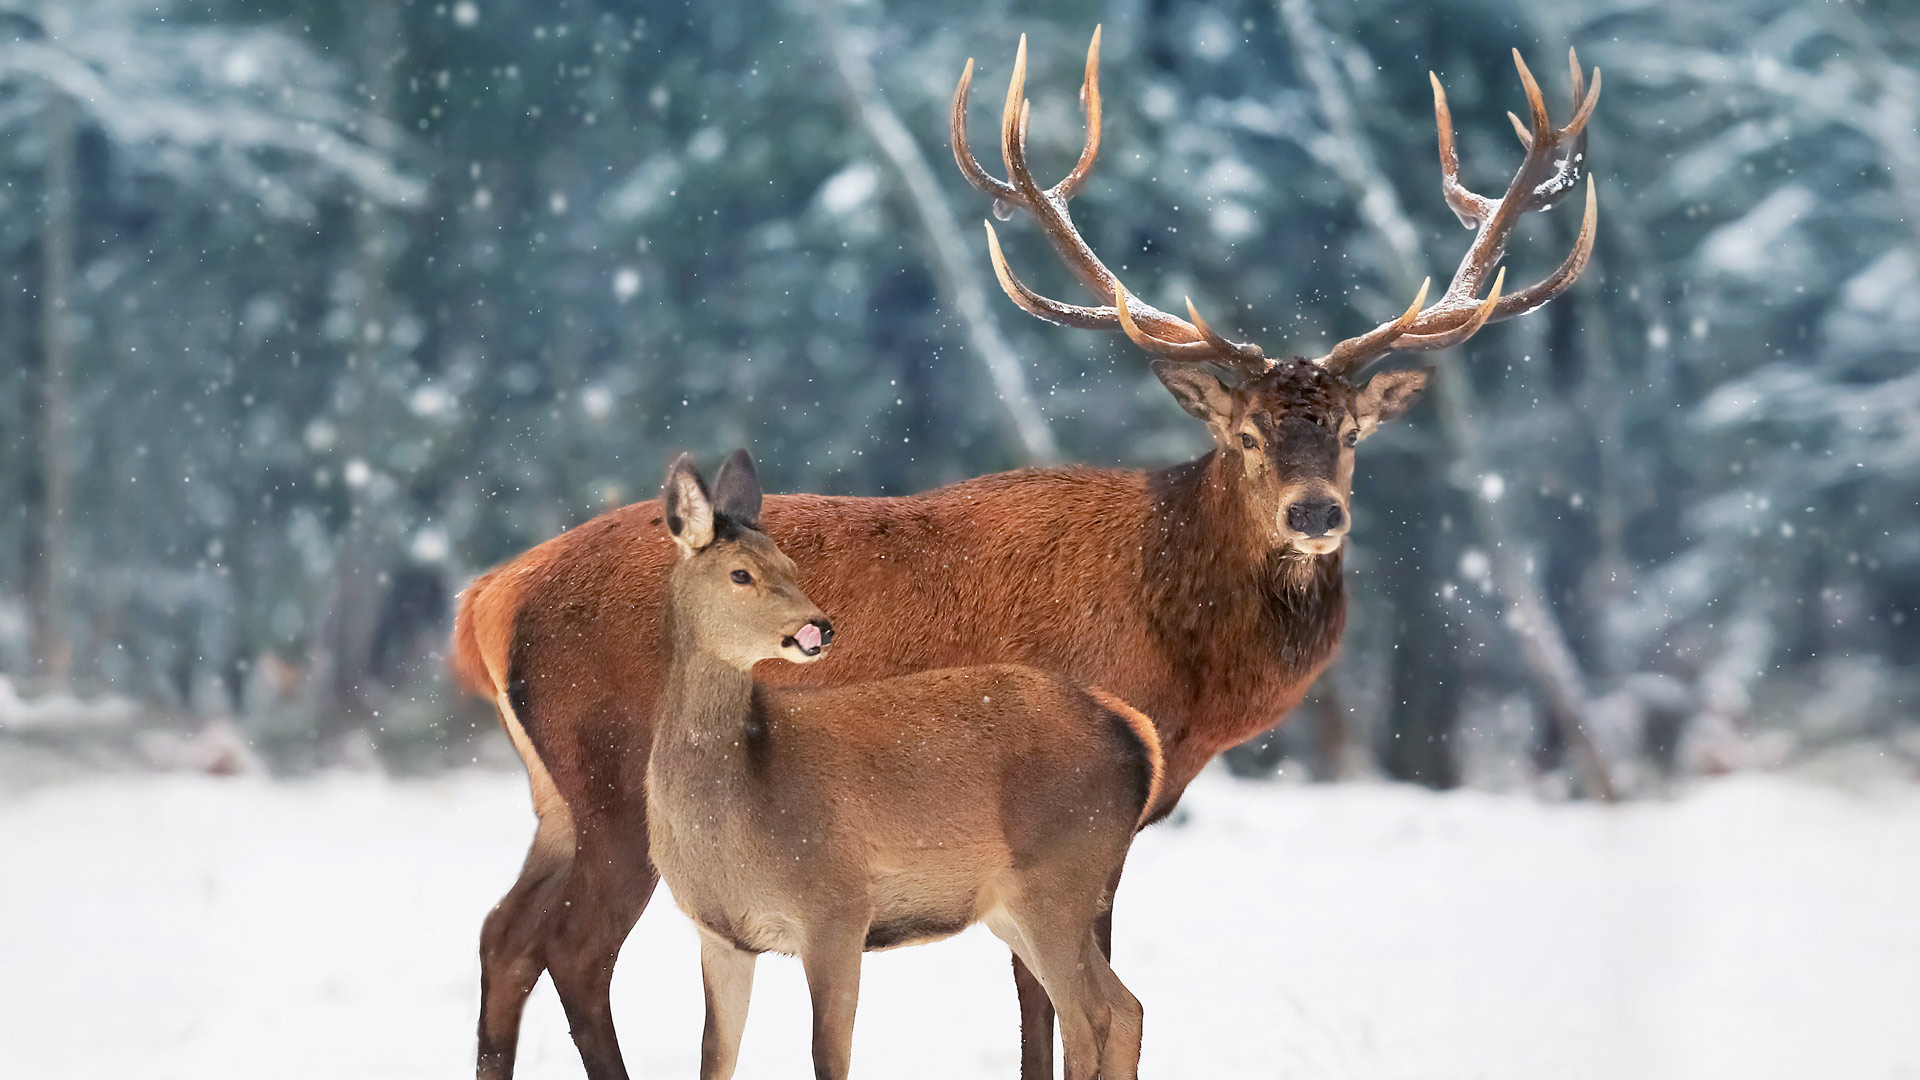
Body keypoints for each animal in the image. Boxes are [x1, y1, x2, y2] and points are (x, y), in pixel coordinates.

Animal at [646, 448, 1158, 1080]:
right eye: (741, 573)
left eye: (790, 563)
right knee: (1126, 1006)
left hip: (1058, 878)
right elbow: (715, 1057)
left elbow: (828, 1055)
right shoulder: (721, 936)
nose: (820, 628)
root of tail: (1137, 733)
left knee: (1090, 1021)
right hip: (1020, 904)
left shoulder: (837, 907)